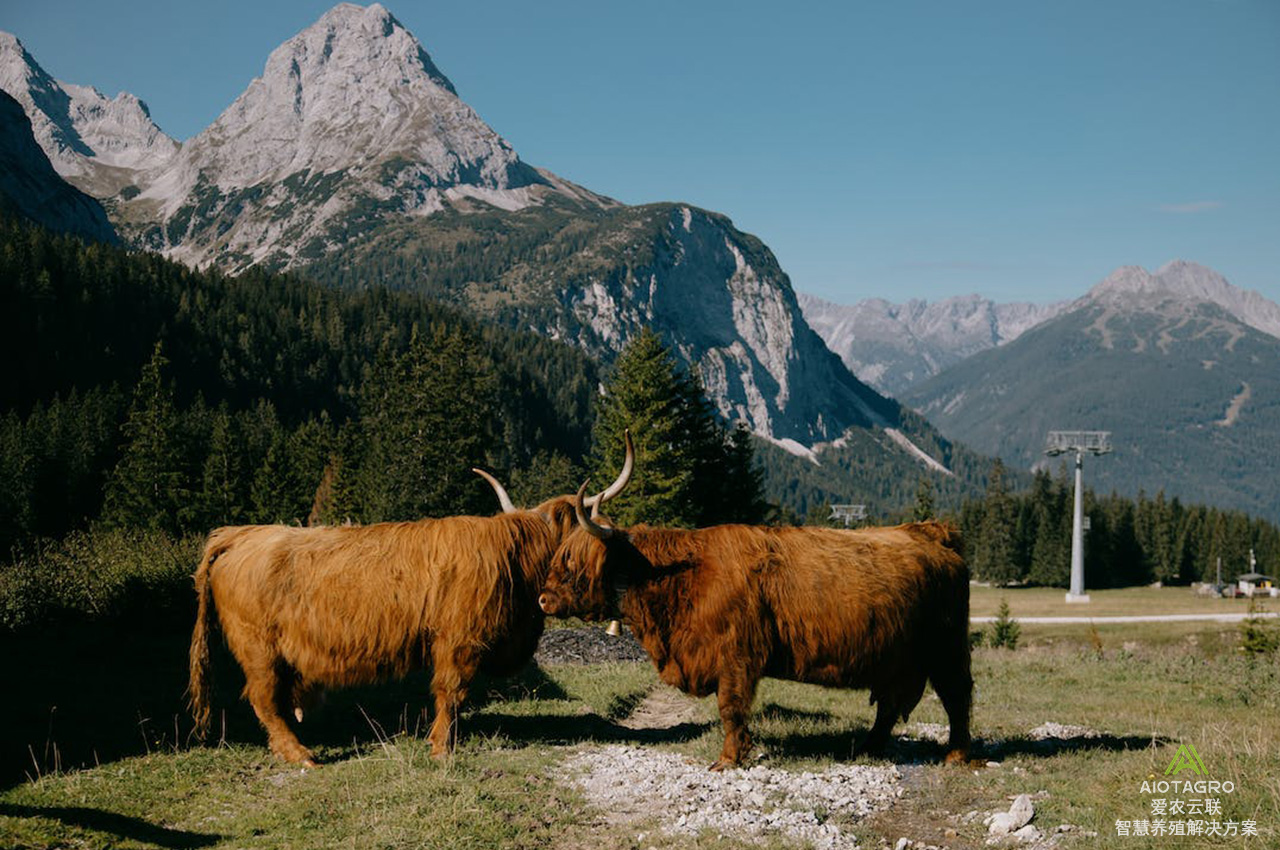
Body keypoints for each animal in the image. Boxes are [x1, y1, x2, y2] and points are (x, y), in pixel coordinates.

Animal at [186, 440, 632, 768]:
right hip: (258, 648)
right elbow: (452, 692)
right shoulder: (459, 640)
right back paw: (301, 755)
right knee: (264, 699)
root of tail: (237, 534)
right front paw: (440, 748)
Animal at [537, 483, 967, 768]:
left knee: (957, 697)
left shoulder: (736, 657)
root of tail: (931, 532)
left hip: (947, 649)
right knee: (890, 705)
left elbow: (731, 708)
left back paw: (956, 755)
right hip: (896, 658)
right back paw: (868, 749)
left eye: (570, 562)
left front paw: (728, 760)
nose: (543, 598)